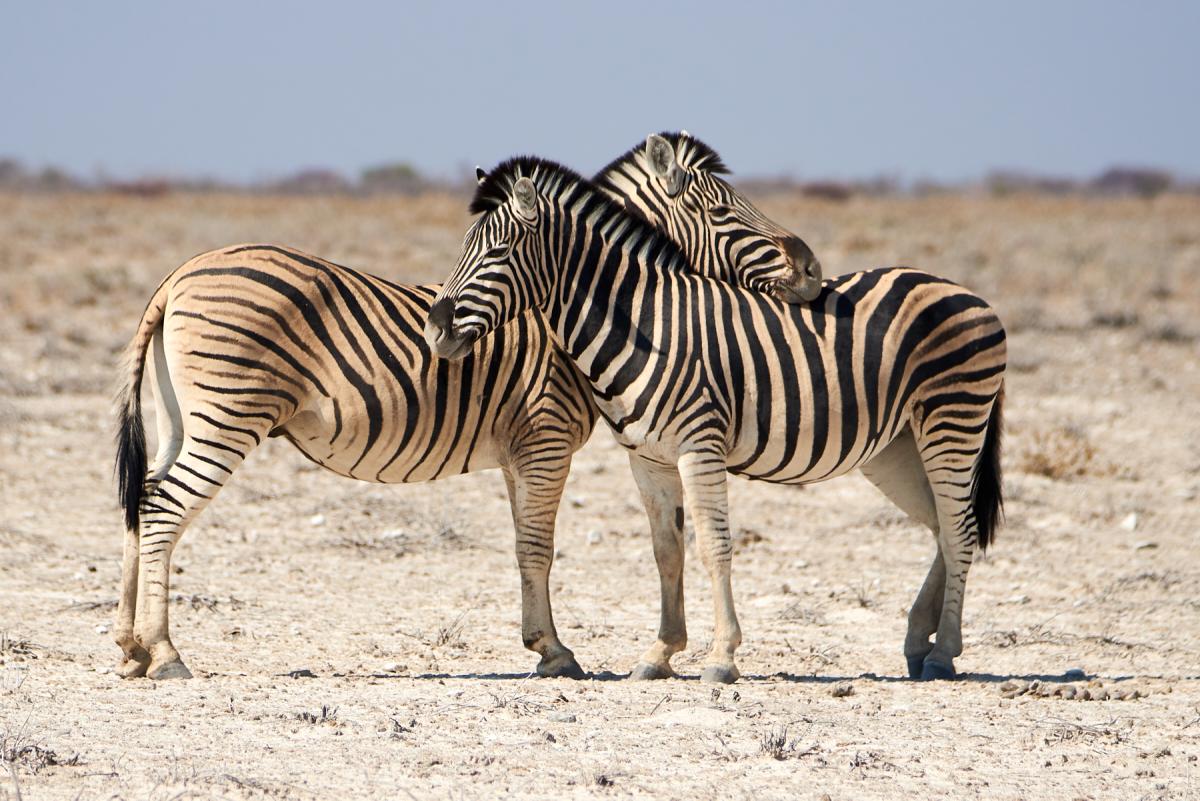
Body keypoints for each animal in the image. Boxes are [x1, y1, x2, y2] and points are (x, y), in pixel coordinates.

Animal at [111, 157, 822, 681]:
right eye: (723, 209)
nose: (812, 270)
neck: (567, 307)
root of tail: (178, 276)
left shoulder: (518, 452)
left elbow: (523, 545)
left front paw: (541, 644)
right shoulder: (546, 440)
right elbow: (540, 547)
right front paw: (556, 654)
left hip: (181, 419)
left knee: (143, 500)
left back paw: (132, 648)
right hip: (228, 416)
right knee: (166, 509)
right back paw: (167, 656)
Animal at [425, 155, 1007, 683]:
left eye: (498, 252)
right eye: (463, 249)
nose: (436, 330)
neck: (645, 325)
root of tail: (963, 290)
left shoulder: (698, 448)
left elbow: (713, 546)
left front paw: (722, 657)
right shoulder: (648, 459)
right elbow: (666, 551)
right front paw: (659, 654)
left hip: (952, 421)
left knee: (960, 529)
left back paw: (943, 654)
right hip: (895, 446)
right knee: (942, 525)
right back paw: (918, 642)